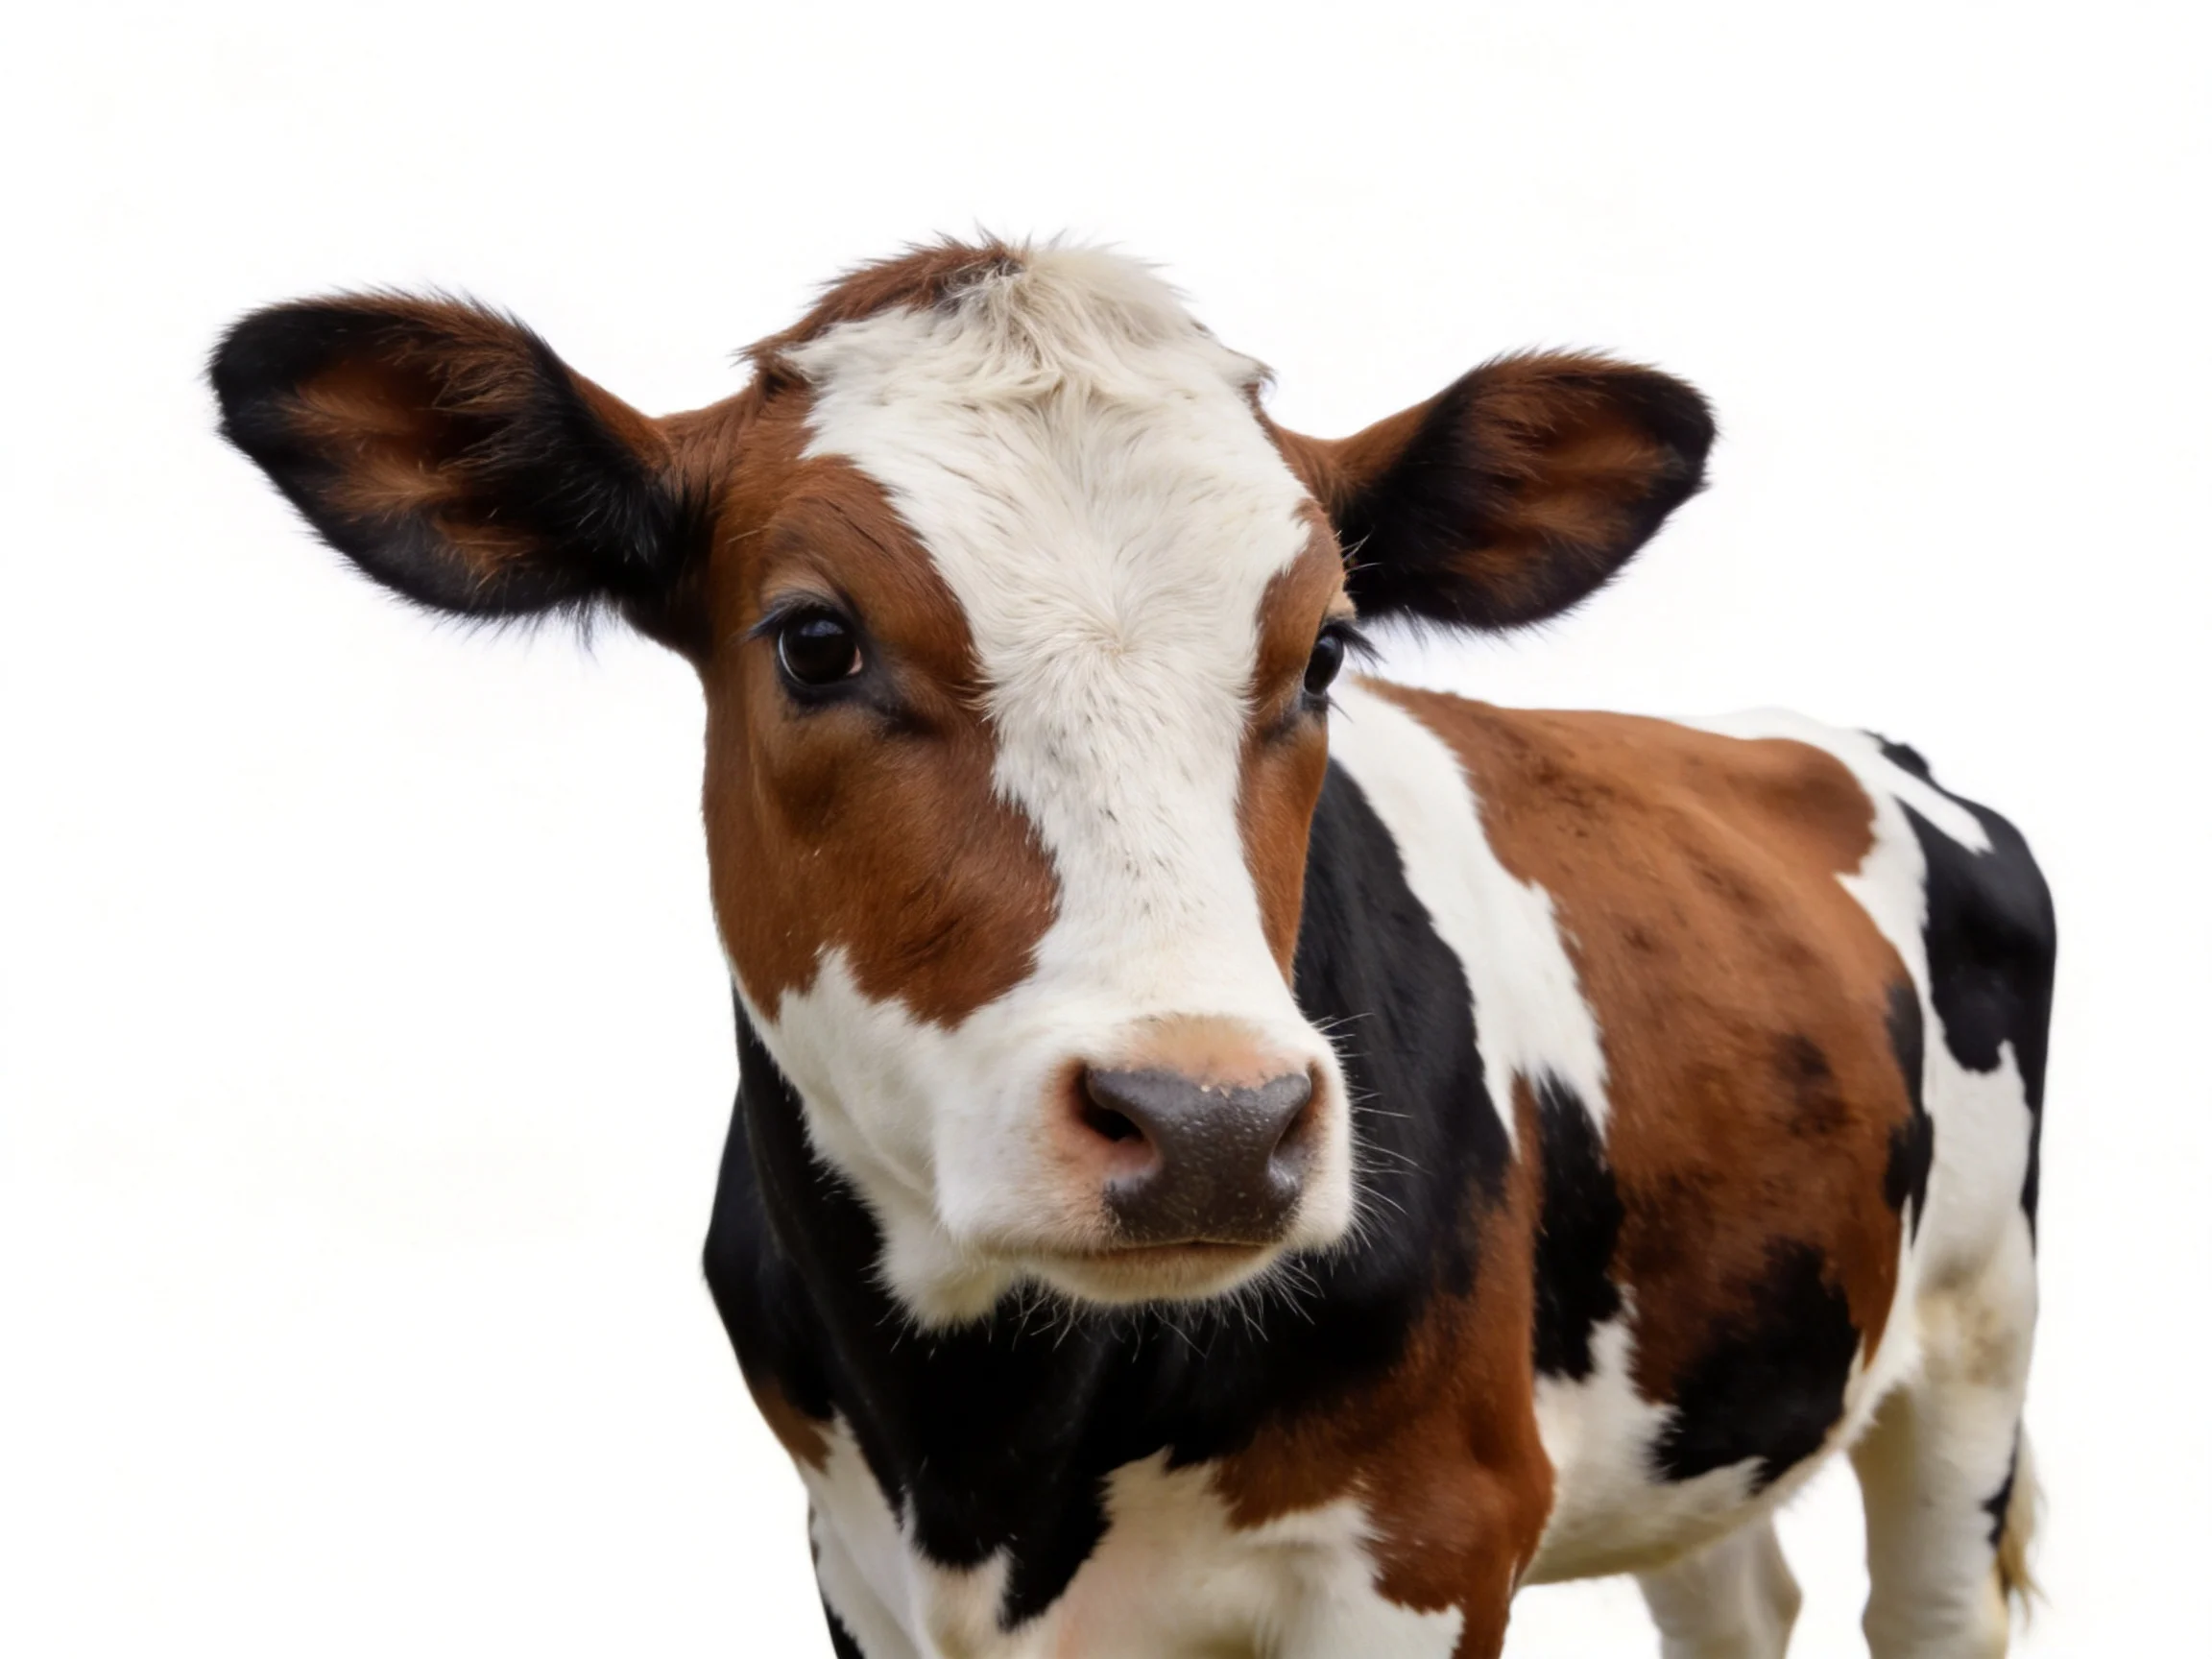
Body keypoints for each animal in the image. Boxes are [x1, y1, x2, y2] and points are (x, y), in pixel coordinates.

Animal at [211, 240, 2054, 1658]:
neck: (985, 1447)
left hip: (1975, 1337)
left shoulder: (1432, 1534)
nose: (1210, 1125)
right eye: (813, 640)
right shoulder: (852, 1559)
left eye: (1325, 650)